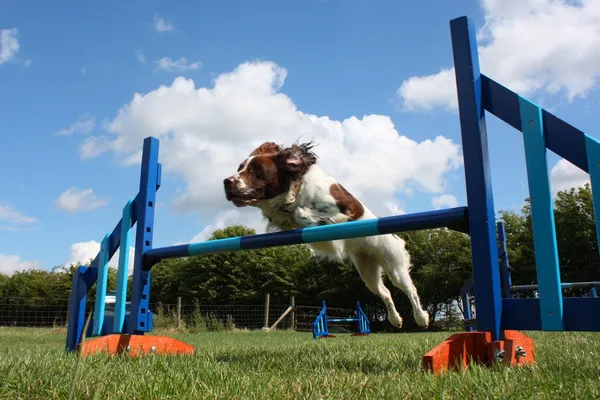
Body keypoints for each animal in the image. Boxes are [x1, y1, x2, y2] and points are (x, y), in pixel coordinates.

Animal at [223, 141, 428, 328]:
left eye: (256, 170)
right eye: (240, 168)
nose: (226, 182)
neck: (297, 187)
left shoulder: (346, 211)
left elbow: (302, 212)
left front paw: (305, 215)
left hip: (394, 264)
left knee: (410, 290)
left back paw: (422, 318)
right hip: (367, 271)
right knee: (385, 292)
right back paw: (395, 320)